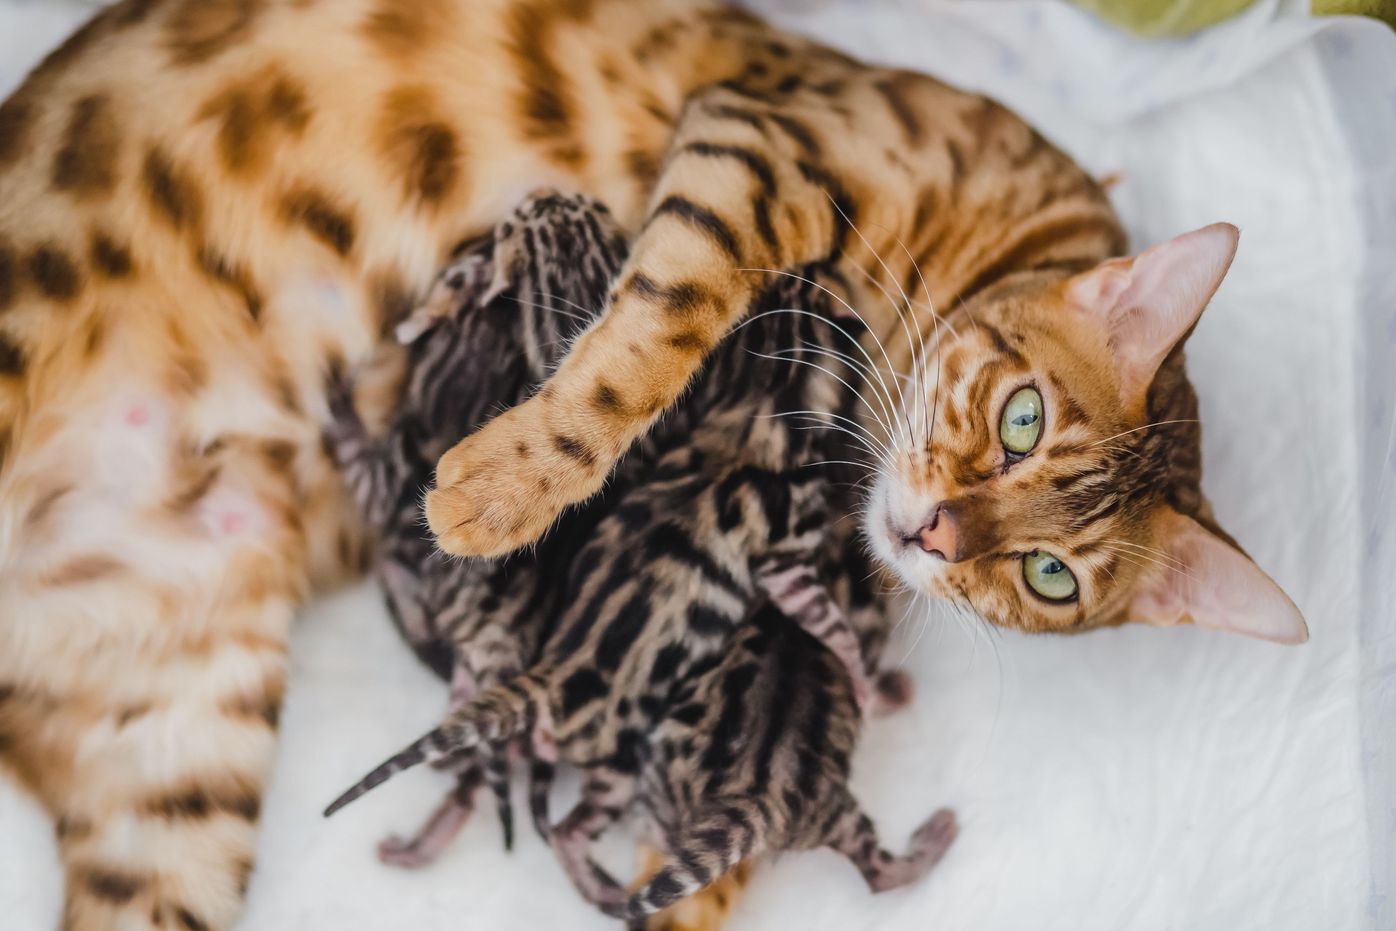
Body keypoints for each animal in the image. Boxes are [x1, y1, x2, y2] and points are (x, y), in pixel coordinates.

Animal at [0, 1, 1301, 931]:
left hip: (177, 756)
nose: (934, 532)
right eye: (1022, 419)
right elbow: (648, 340)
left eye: (1048, 579)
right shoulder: (757, 149)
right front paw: (496, 487)